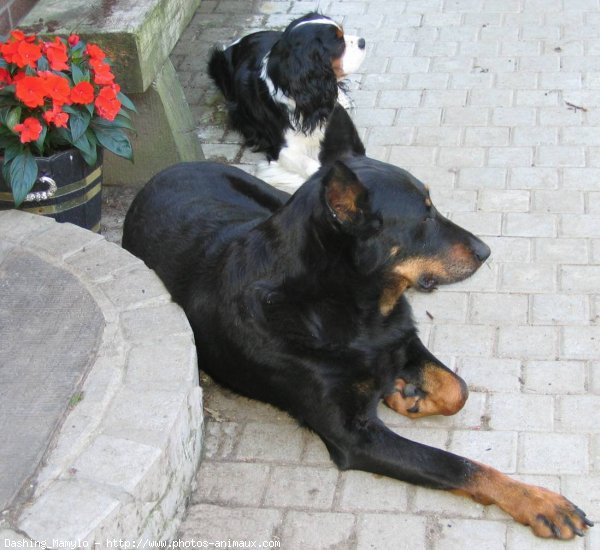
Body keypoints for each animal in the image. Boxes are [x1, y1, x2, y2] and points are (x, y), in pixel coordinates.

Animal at [122, 108, 592, 544]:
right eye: (423, 218)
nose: (485, 251)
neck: (346, 304)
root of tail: (166, 170)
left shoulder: (402, 336)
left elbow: (456, 389)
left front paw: (406, 393)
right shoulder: (356, 437)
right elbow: (454, 464)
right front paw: (536, 499)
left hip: (268, 199)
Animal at [206, 12, 366, 188]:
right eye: (338, 42)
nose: (363, 42)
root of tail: (240, 41)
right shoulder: (279, 147)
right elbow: (310, 165)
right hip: (216, 66)